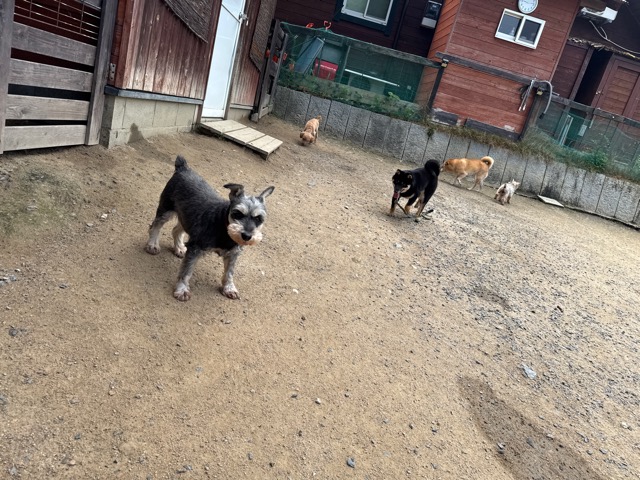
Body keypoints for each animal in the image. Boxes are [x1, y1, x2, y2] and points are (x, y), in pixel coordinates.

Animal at [145, 155, 274, 301]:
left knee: (176, 230)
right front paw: (182, 289)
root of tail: (183, 168)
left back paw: (179, 248)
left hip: (187, 216)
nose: (246, 236)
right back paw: (152, 245)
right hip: (166, 209)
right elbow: (186, 271)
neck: (224, 228)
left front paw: (229, 288)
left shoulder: (233, 254)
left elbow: (229, 273)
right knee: (155, 226)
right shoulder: (195, 249)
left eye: (259, 218)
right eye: (237, 213)